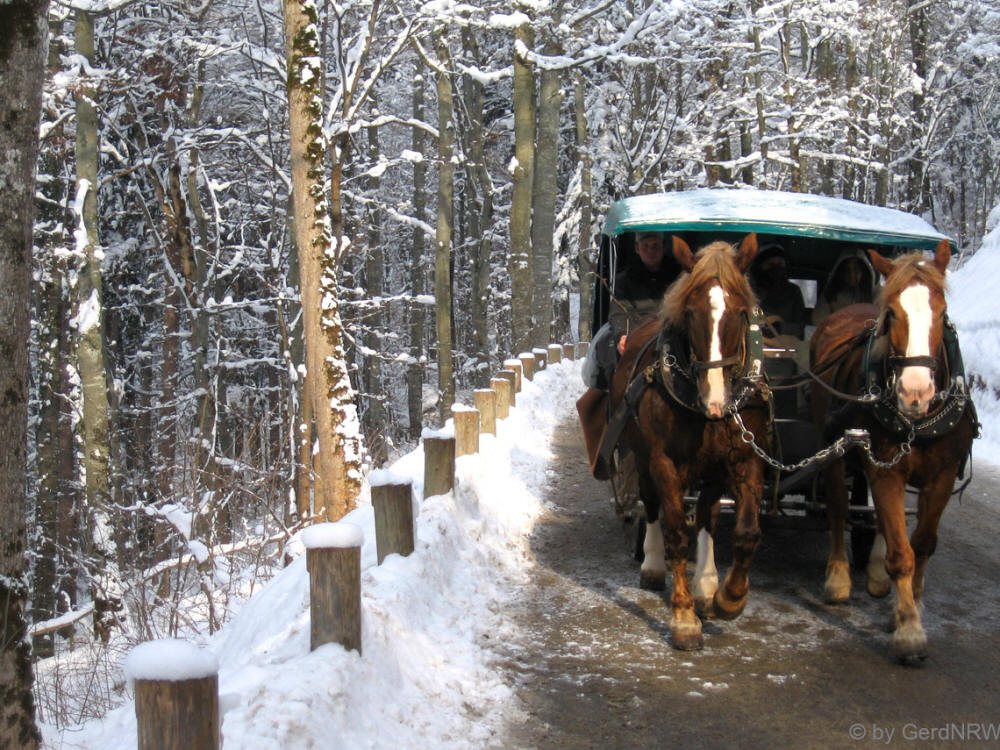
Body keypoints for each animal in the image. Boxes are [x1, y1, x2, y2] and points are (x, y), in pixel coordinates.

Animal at [609, 234, 768, 650]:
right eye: (691, 313)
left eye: (740, 312)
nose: (716, 401)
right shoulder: (663, 462)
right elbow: (677, 532)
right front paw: (683, 618)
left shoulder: (745, 459)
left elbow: (746, 532)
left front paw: (729, 597)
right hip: (643, 457)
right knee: (651, 506)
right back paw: (652, 565)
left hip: (711, 470)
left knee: (709, 515)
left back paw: (706, 585)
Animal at [810, 239, 977, 662]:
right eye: (892, 315)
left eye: (942, 313)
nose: (915, 392)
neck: (917, 422)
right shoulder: (886, 470)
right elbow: (903, 554)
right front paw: (910, 632)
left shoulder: (942, 475)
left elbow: (922, 542)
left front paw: (908, 606)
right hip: (833, 445)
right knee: (838, 506)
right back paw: (839, 577)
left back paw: (875, 575)